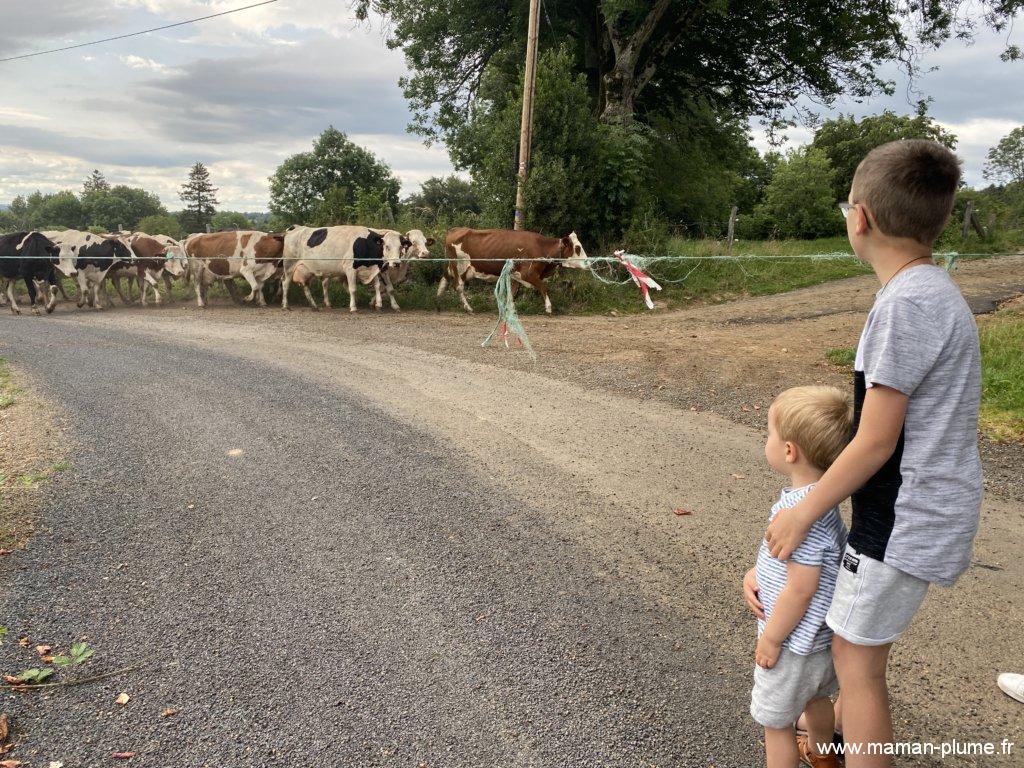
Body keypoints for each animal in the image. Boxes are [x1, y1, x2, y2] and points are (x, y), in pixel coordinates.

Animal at [436, 228, 589, 313]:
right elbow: (544, 288)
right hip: (459, 267)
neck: (542, 247)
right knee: (458, 287)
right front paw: (549, 308)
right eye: (577, 248)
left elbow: (512, 294)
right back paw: (468, 308)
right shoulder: (528, 274)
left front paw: (509, 308)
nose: (588, 262)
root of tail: (454, 229)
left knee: (444, 279)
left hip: (457, 268)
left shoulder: (515, 275)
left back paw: (438, 302)